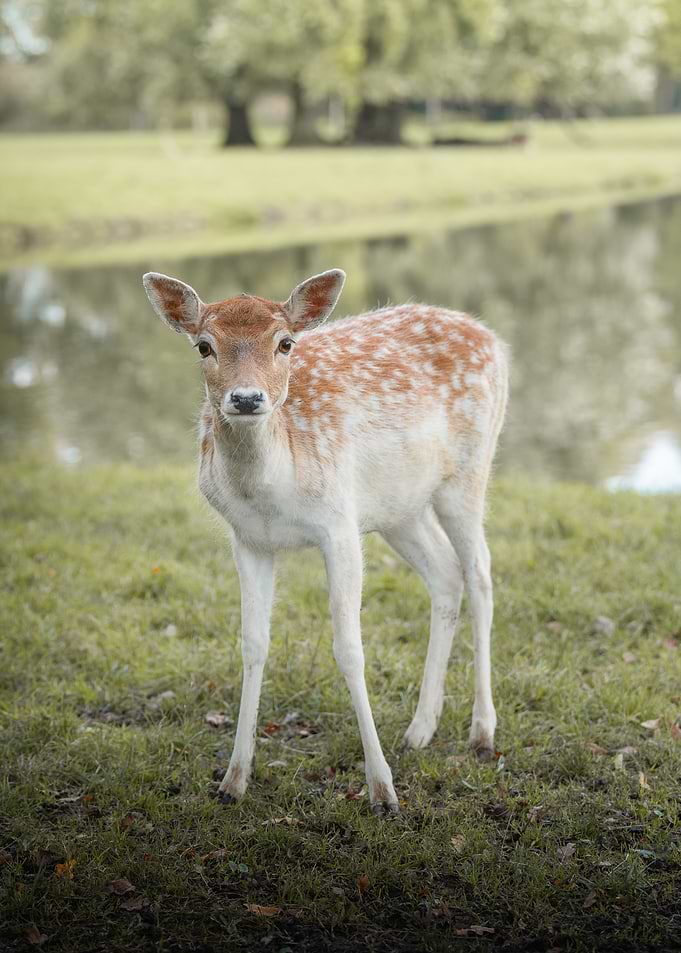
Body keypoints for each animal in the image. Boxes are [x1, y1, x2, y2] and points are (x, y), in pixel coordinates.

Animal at [142, 268, 509, 815]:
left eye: (285, 343)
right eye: (204, 346)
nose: (247, 399)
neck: (272, 487)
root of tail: (492, 338)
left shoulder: (338, 525)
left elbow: (350, 649)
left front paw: (382, 791)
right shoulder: (248, 539)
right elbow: (253, 644)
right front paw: (233, 780)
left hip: (468, 471)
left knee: (480, 575)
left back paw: (482, 732)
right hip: (399, 507)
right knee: (446, 575)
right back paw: (420, 730)